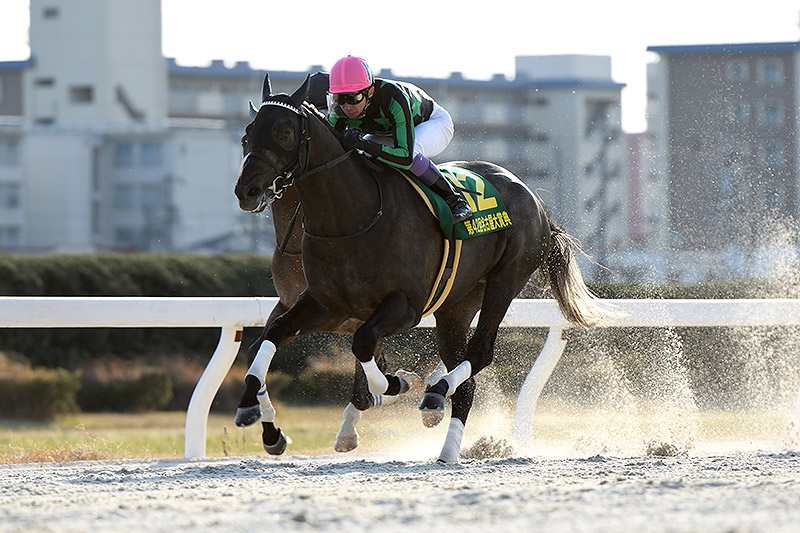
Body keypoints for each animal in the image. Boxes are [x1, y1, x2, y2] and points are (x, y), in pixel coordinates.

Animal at [234, 75, 608, 462]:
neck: (350, 219)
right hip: (457, 306)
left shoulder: (405, 307)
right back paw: (446, 443)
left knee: (480, 352)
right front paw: (255, 413)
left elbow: (364, 346)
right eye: (247, 134)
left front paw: (398, 383)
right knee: (466, 379)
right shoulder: (326, 305)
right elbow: (272, 335)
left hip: (506, 280)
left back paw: (436, 392)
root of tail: (537, 202)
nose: (247, 191)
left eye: (284, 132)